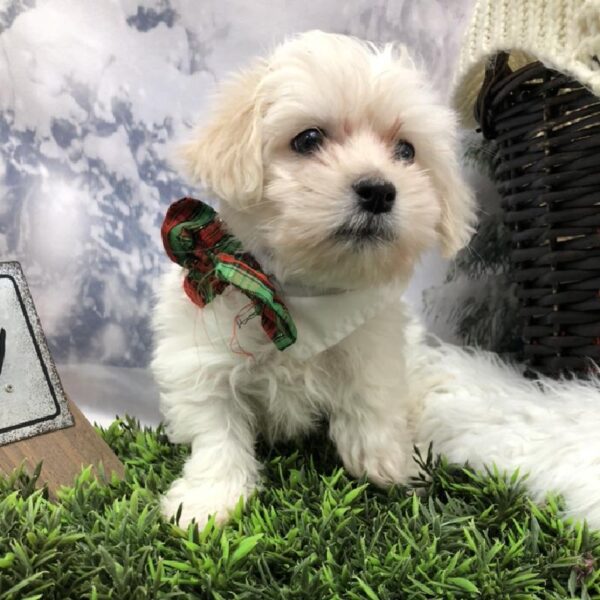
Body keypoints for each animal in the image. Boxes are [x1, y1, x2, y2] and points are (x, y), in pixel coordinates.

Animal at [155, 29, 478, 524]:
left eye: (406, 151)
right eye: (308, 139)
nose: (379, 190)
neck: (298, 295)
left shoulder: (374, 344)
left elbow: (371, 398)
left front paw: (389, 462)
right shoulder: (199, 359)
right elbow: (217, 431)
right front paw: (208, 502)